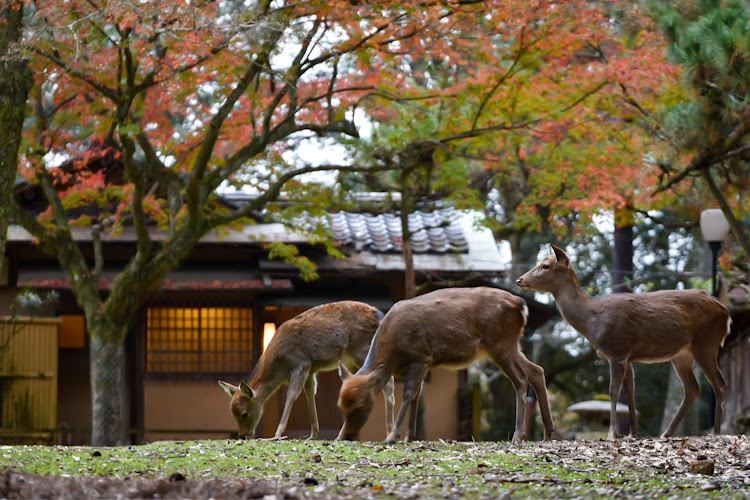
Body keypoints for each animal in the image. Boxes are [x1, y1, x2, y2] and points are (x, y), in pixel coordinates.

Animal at [219, 300, 400, 438]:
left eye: (244, 413)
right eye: (232, 413)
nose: (243, 435)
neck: (280, 367)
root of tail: (380, 317)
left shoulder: (301, 363)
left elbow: (292, 394)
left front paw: (277, 435)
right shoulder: (311, 370)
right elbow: (310, 394)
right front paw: (313, 434)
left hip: (363, 349)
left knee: (387, 380)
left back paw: (389, 432)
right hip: (351, 360)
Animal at [338, 288, 556, 444]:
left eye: (359, 405)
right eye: (340, 406)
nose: (345, 436)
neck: (393, 352)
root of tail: (521, 305)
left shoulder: (420, 356)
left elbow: (408, 394)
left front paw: (392, 437)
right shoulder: (423, 363)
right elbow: (416, 396)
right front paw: (409, 437)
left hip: (499, 343)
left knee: (520, 380)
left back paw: (518, 436)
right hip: (512, 344)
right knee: (536, 370)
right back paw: (547, 432)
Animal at [520, 244, 732, 440]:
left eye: (545, 266)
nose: (520, 280)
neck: (592, 319)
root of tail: (726, 314)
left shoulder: (617, 351)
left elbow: (613, 391)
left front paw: (612, 433)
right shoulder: (628, 357)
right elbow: (630, 392)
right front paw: (632, 433)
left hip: (706, 343)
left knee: (720, 385)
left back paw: (717, 432)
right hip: (682, 354)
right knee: (692, 388)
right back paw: (667, 433)